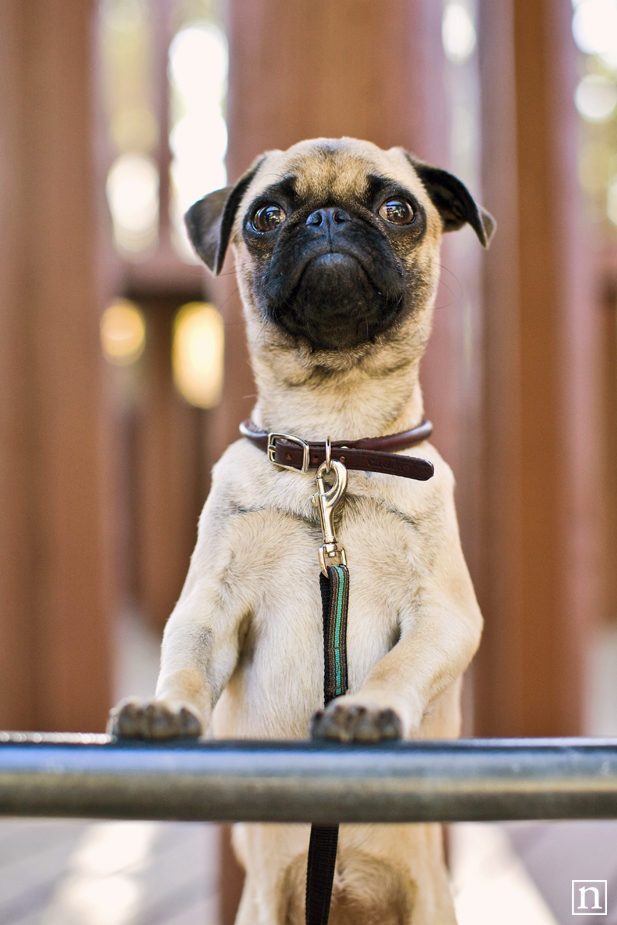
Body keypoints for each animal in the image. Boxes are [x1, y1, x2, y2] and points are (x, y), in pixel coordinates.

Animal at [109, 137, 496, 924]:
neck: (332, 441)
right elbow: (185, 666)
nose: (325, 219)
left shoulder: (444, 617)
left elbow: (400, 665)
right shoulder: (208, 609)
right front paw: (163, 710)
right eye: (265, 216)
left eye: (399, 209)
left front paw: (366, 706)